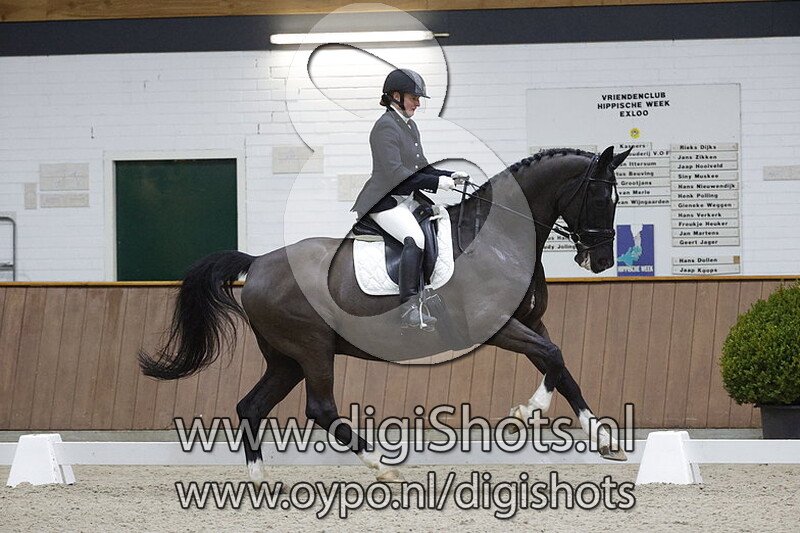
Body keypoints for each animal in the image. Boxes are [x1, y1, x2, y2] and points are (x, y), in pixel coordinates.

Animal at [139, 145, 632, 482]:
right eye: (602, 199)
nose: (600, 261)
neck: (499, 237)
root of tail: (258, 262)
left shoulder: (528, 322)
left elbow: (560, 364)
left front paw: (605, 439)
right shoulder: (497, 327)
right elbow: (553, 356)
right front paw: (528, 411)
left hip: (286, 359)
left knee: (251, 406)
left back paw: (260, 480)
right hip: (312, 348)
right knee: (320, 408)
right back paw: (381, 465)